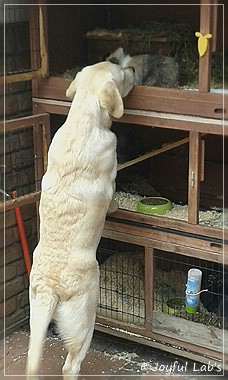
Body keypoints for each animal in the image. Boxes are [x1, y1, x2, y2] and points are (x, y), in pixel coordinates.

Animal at [26, 60, 135, 378]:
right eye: (121, 74)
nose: (134, 69)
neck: (83, 120)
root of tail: (49, 287)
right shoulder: (110, 173)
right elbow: (112, 194)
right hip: (86, 317)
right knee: (70, 364)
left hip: (35, 310)